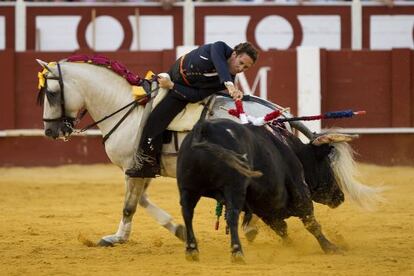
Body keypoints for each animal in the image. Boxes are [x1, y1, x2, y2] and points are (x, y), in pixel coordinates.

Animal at [37, 58, 282, 246]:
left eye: (50, 93)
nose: (49, 131)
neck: (126, 107)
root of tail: (274, 114)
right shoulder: (142, 169)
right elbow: (142, 201)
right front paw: (178, 230)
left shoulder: (133, 168)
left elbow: (129, 206)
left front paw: (117, 238)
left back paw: (254, 226)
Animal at [176, 118, 348, 264]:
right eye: (327, 164)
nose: (340, 197)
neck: (292, 150)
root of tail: (205, 128)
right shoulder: (300, 191)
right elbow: (311, 223)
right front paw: (330, 248)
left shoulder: (265, 209)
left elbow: (281, 229)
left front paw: (291, 246)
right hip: (234, 188)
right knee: (231, 215)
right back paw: (237, 252)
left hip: (187, 188)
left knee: (187, 213)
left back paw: (191, 250)